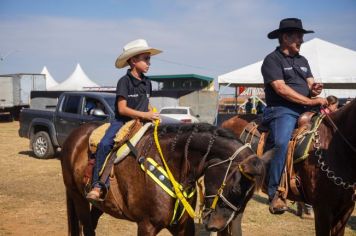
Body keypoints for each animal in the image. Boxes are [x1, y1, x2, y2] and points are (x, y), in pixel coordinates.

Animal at [60, 122, 270, 235]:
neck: (171, 165)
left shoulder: (183, 227)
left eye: (249, 197)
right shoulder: (147, 226)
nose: (218, 225)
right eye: (235, 188)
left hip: (100, 204)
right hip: (78, 197)